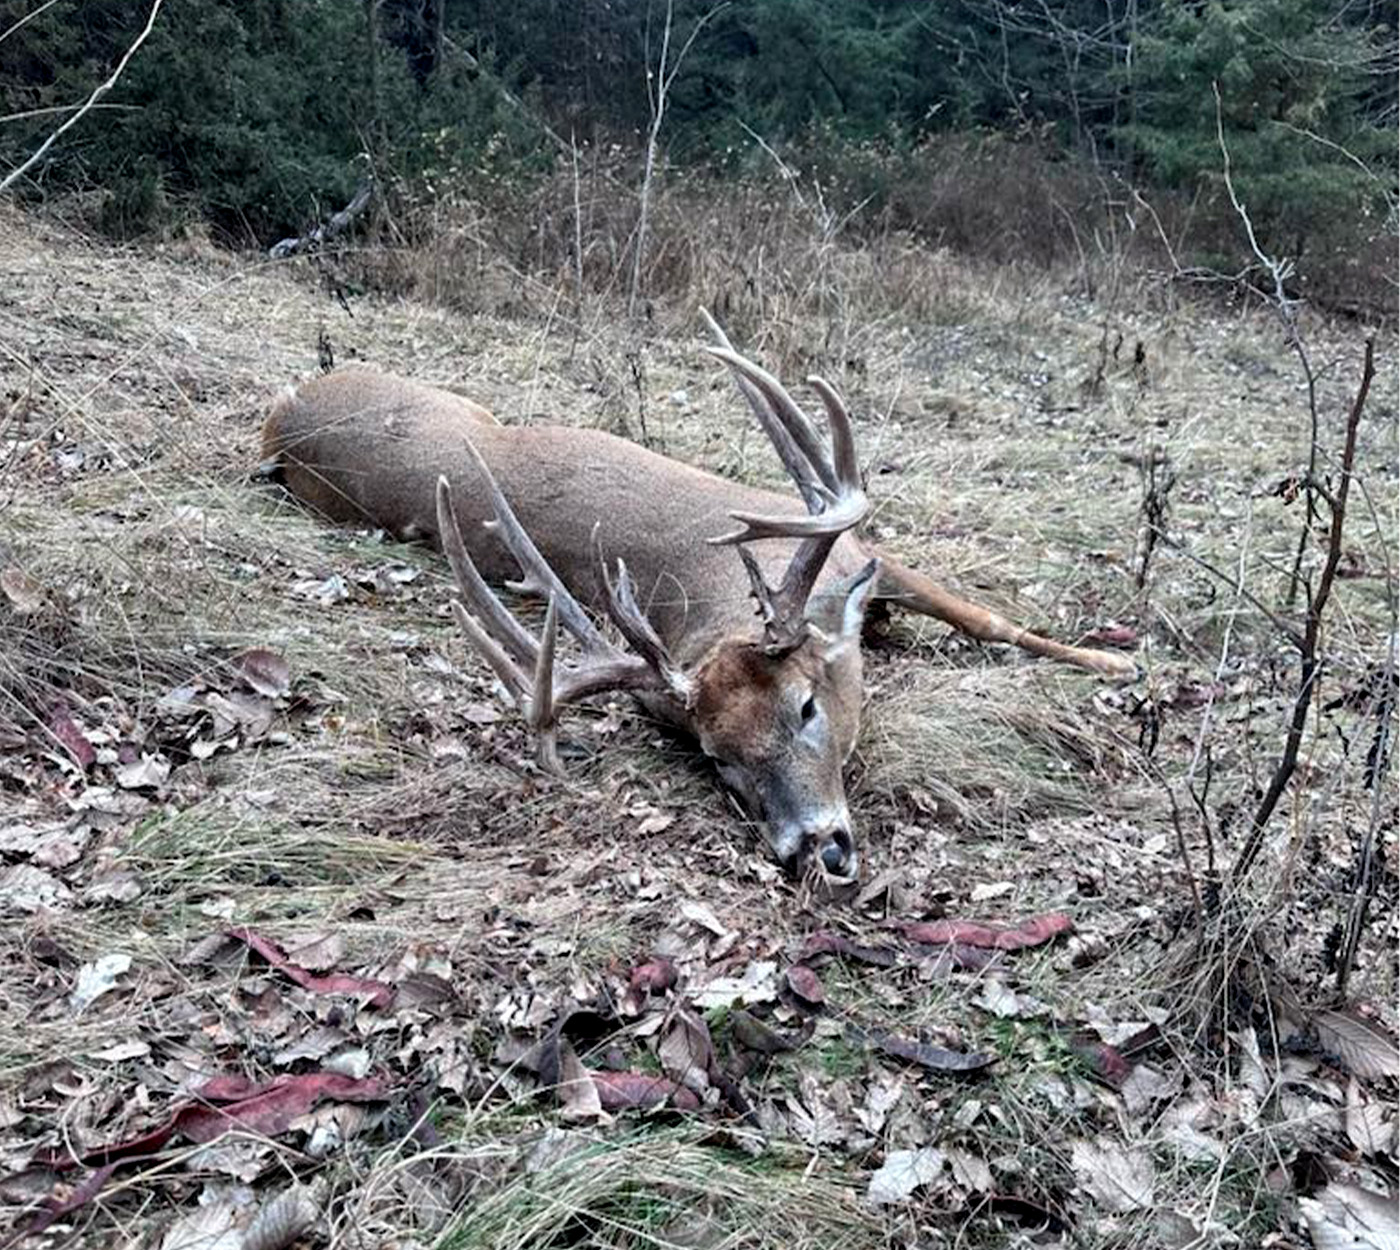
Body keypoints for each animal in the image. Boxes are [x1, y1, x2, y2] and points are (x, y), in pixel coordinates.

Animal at [263, 312, 1136, 879]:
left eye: (806, 707)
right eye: (717, 756)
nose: (815, 851)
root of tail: (281, 423)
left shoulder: (868, 553)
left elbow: (987, 619)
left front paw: (1114, 663)